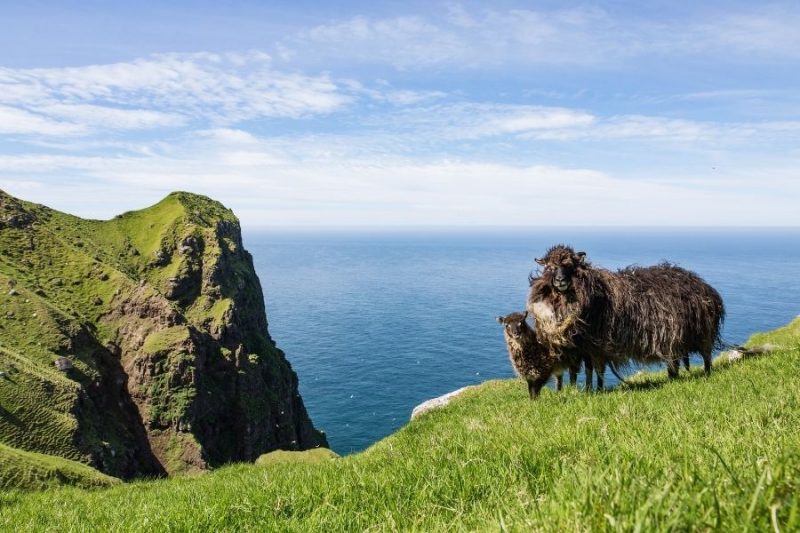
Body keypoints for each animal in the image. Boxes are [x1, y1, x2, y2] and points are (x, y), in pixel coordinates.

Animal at [527, 244, 724, 381]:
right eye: (550, 268)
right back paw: (674, 377)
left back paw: (705, 375)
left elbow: (597, 371)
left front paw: (596, 391)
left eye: (570, 266)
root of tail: (705, 287)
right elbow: (583, 372)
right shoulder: (582, 349)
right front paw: (584, 391)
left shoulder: (596, 347)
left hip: (698, 333)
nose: (560, 280)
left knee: (705, 355)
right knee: (675, 360)